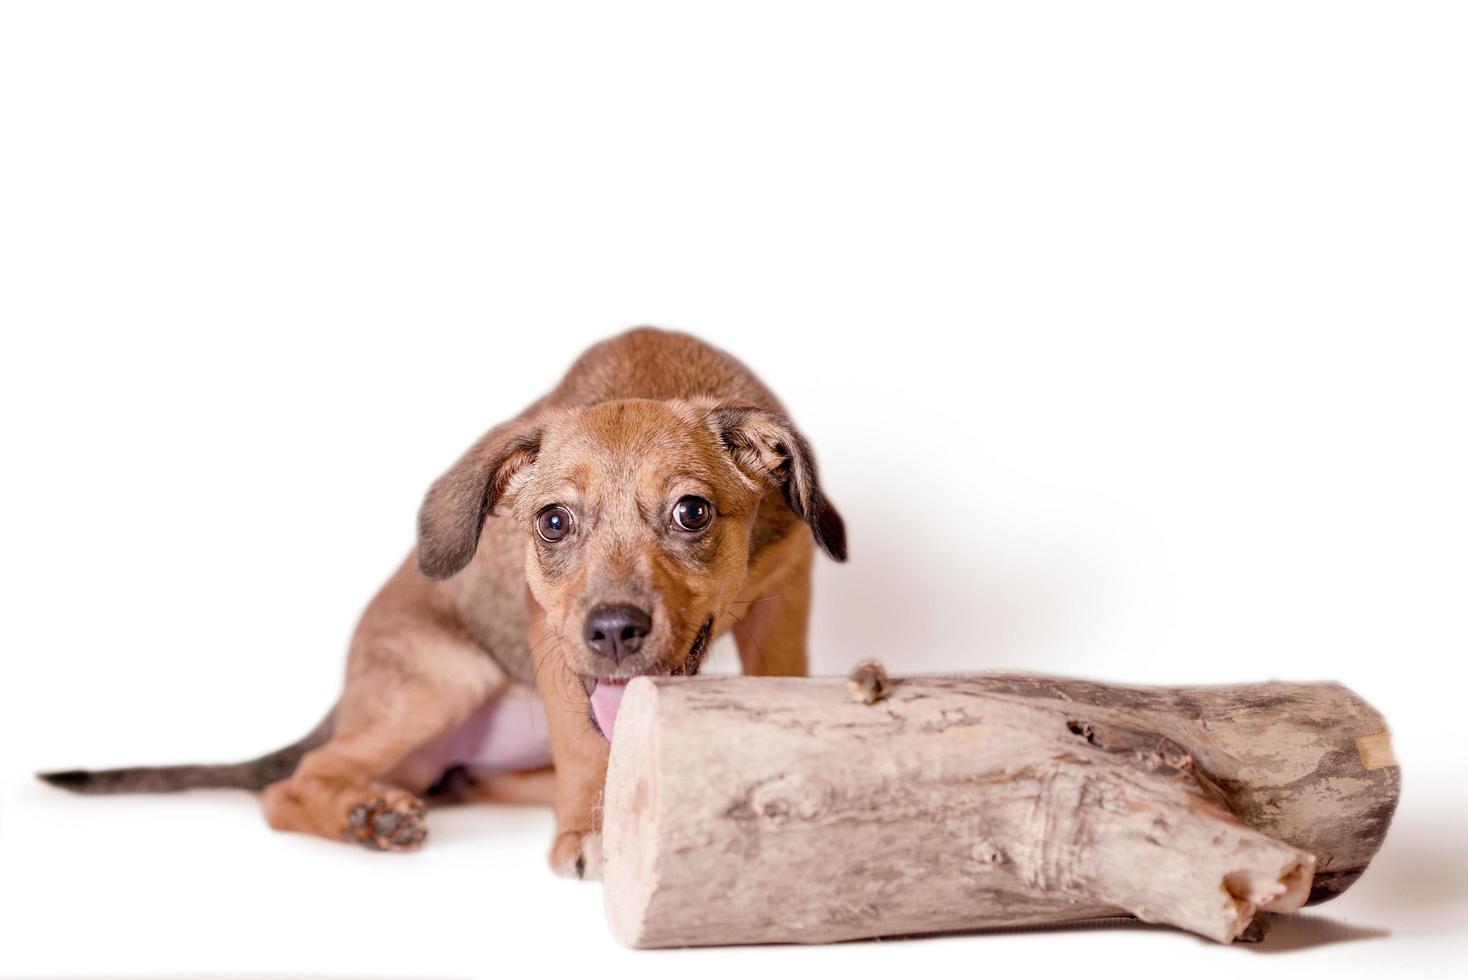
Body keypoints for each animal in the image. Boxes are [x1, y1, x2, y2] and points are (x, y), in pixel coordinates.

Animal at [40, 325, 845, 874]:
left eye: (692, 512)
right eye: (553, 522)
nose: (613, 632)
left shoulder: (787, 593)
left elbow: (778, 675)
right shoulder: (550, 643)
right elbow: (586, 744)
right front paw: (590, 828)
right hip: (442, 680)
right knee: (293, 785)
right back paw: (364, 817)